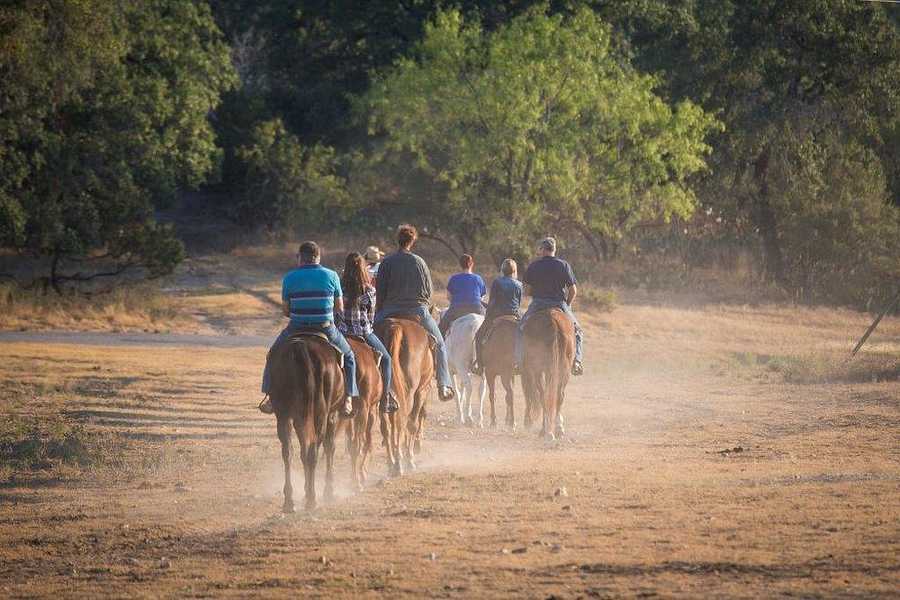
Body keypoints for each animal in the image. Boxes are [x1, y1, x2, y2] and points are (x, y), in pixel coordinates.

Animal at [268, 331, 382, 512]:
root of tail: (300, 349)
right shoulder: (337, 414)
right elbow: (333, 446)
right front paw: (330, 490)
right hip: (329, 413)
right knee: (319, 449)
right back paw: (315, 498)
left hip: (286, 415)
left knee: (289, 451)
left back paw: (290, 501)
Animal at [375, 317, 434, 476]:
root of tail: (396, 327)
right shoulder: (422, 391)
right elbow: (413, 422)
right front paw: (410, 456)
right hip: (409, 393)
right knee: (404, 421)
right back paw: (401, 463)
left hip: (383, 397)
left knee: (386, 427)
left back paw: (392, 462)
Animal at [520, 309, 576, 440]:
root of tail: (552, 319)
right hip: (563, 369)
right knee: (559, 395)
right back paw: (558, 430)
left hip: (537, 370)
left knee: (543, 396)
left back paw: (546, 431)